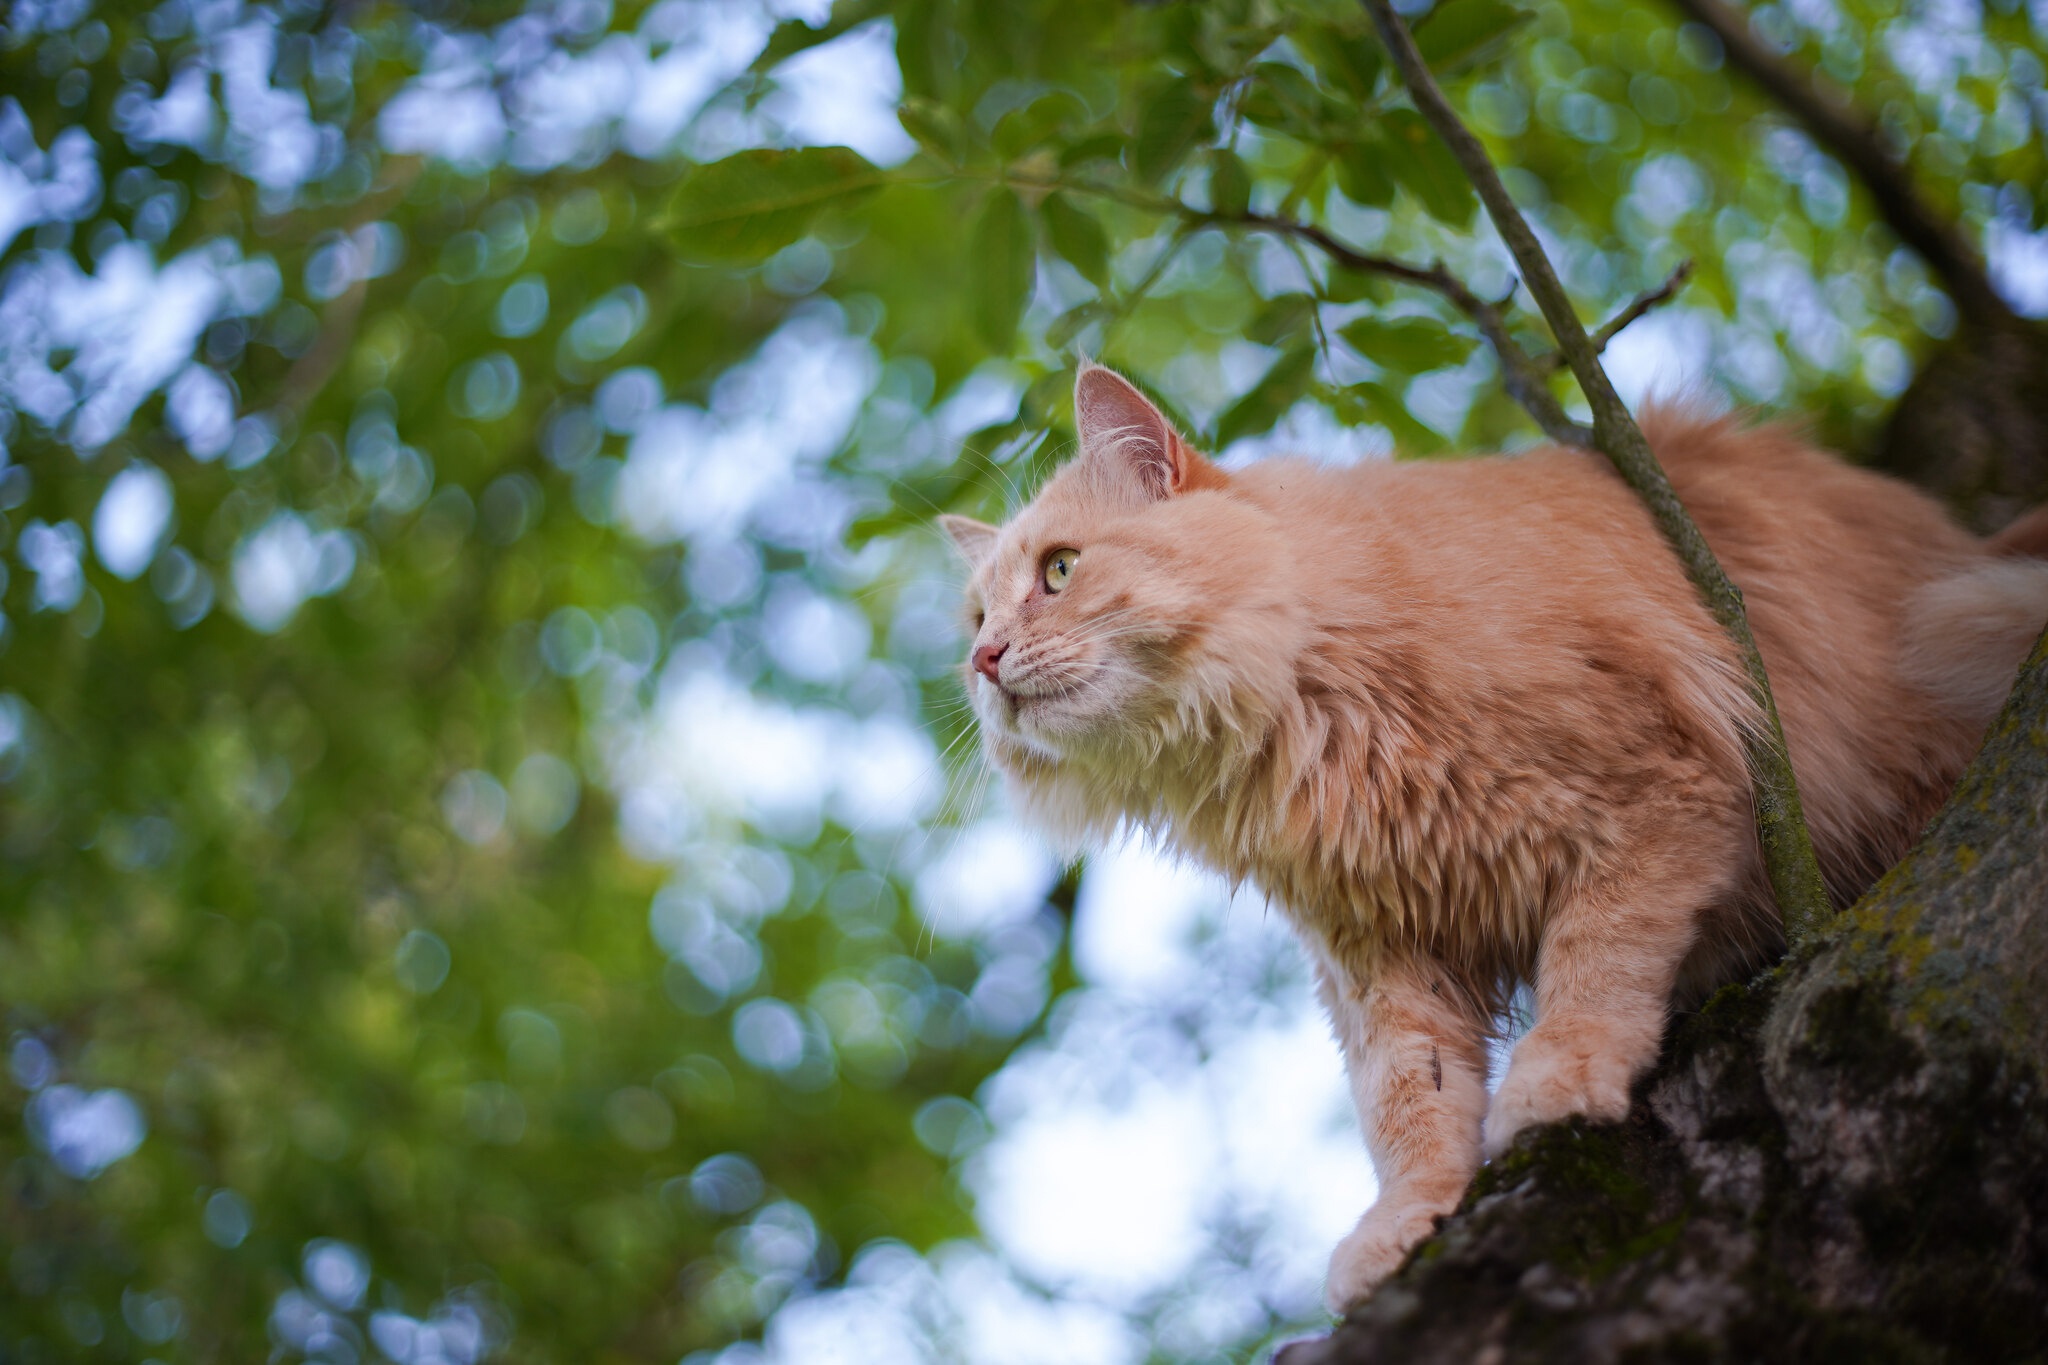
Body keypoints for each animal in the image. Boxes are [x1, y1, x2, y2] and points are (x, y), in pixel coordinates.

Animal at [937, 362, 2048, 1309]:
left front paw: (1557, 1080)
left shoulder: (1664, 789)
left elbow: (1595, 958)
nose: (985, 663)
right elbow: (1406, 1103)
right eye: (977, 618)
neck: (1304, 720)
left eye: (1060, 571)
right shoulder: (1380, 954)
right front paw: (1409, 1218)